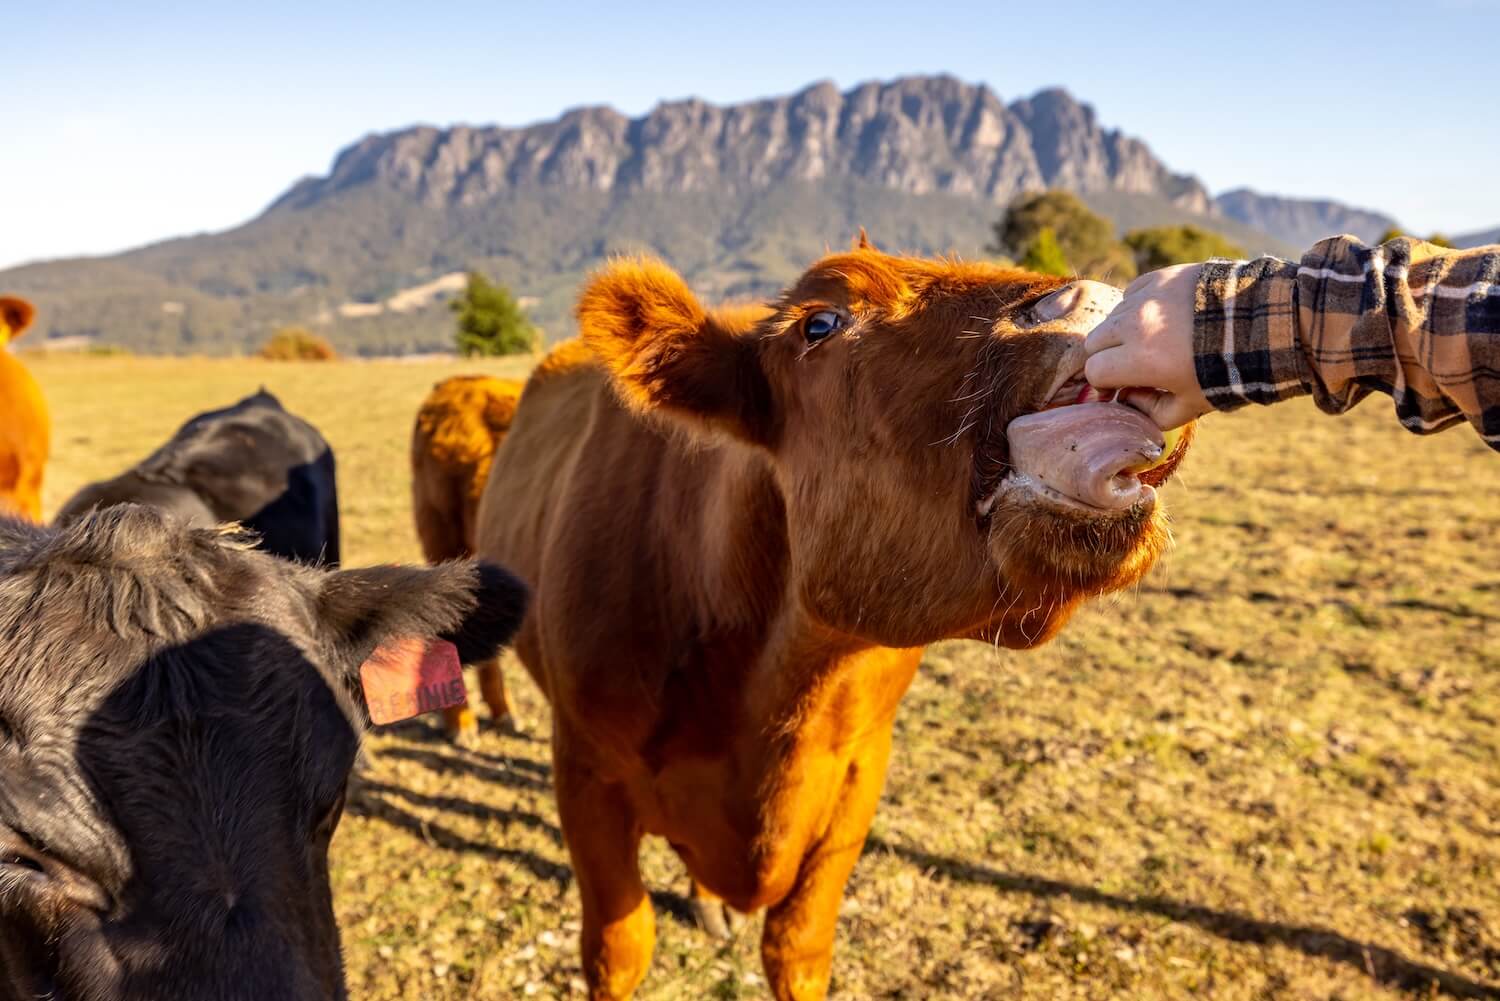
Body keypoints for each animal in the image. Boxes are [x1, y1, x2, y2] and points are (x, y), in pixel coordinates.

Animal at [473, 240, 1193, 1000]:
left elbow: (798, 945)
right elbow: (619, 946)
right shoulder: (585, 772)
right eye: (820, 322)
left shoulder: (856, 777)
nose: (1093, 299)